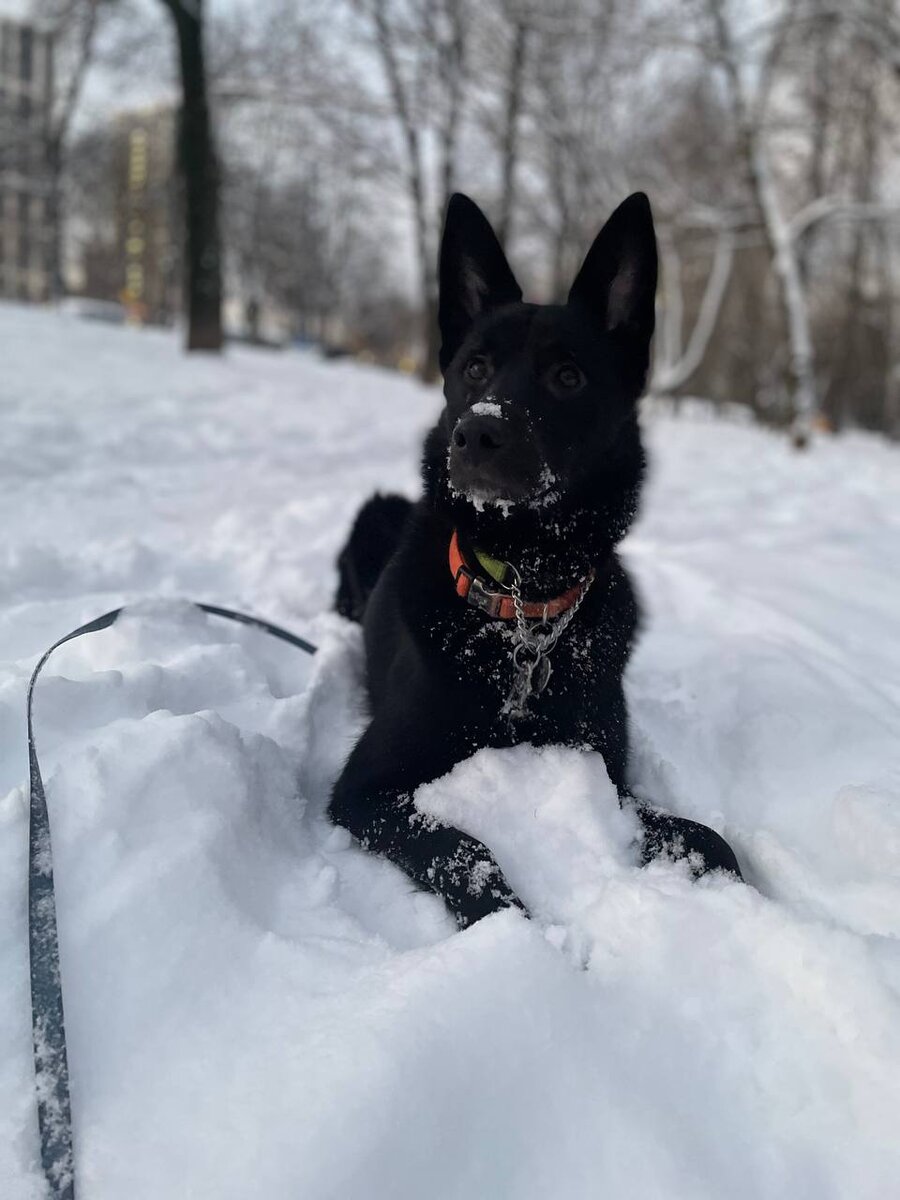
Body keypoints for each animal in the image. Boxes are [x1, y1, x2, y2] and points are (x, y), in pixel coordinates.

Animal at [331, 194, 739, 926]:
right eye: (475, 368)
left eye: (568, 376)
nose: (476, 433)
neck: (523, 598)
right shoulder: (365, 786)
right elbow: (463, 850)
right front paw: (515, 930)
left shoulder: (609, 775)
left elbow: (708, 839)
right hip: (375, 511)